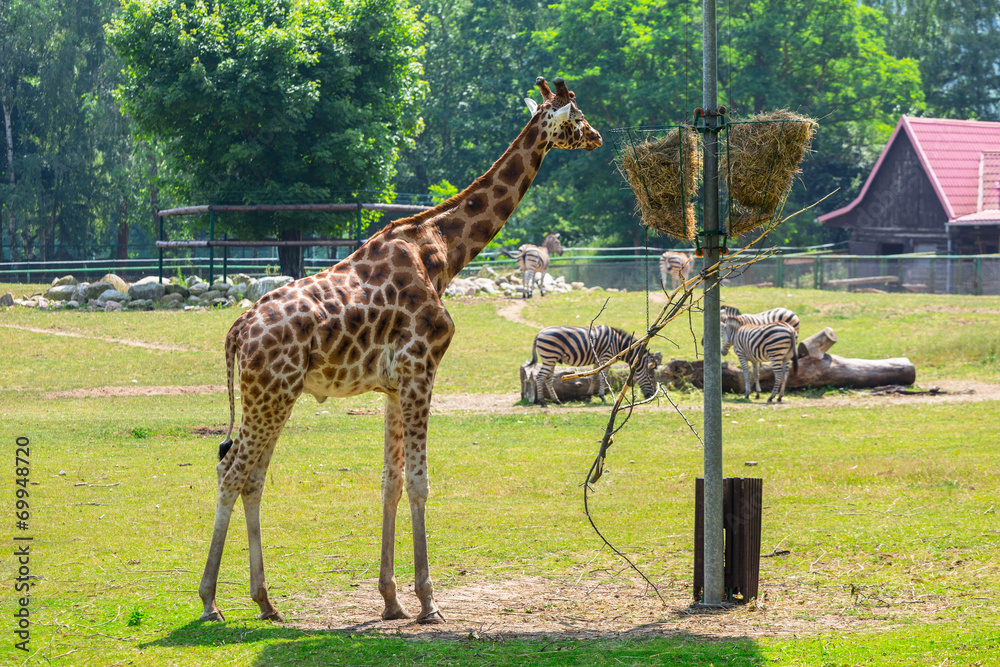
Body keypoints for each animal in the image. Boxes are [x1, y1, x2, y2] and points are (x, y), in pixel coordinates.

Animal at [199, 77, 596, 628]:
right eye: (577, 116)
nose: (597, 136)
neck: (444, 253)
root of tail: (238, 330)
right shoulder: (420, 370)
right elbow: (418, 481)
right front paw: (429, 602)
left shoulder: (391, 385)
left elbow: (389, 481)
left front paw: (391, 599)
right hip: (271, 393)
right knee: (233, 471)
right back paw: (210, 601)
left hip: (276, 395)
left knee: (251, 476)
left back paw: (265, 600)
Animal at [532, 324, 664, 408]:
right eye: (651, 377)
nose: (652, 396)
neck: (619, 344)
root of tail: (539, 333)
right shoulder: (606, 357)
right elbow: (602, 377)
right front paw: (602, 396)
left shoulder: (597, 359)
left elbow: (594, 377)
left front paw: (590, 396)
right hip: (549, 357)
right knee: (540, 377)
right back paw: (542, 402)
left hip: (552, 359)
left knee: (548, 378)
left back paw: (557, 401)